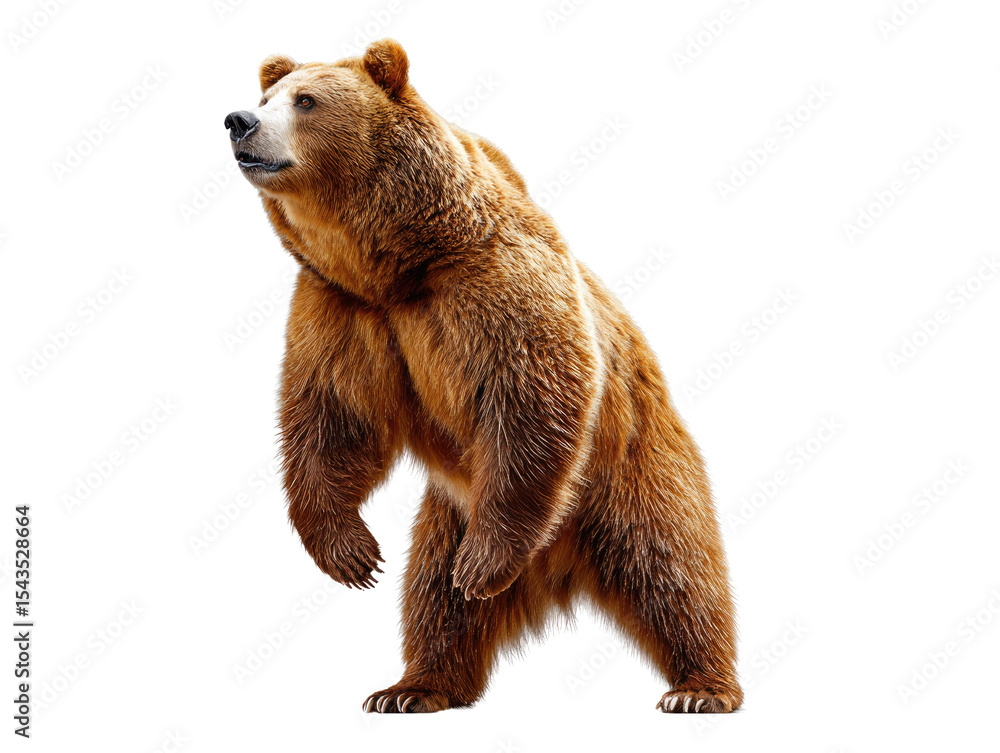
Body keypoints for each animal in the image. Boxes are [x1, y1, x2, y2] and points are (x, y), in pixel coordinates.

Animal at [224, 38, 743, 714]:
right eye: (266, 97)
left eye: (305, 101)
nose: (239, 121)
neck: (397, 262)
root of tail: (556, 566)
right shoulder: (342, 306)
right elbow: (333, 414)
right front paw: (353, 554)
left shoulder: (490, 280)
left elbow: (534, 395)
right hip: (451, 511)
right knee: (436, 597)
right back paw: (413, 686)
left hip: (629, 465)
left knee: (673, 565)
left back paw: (699, 686)